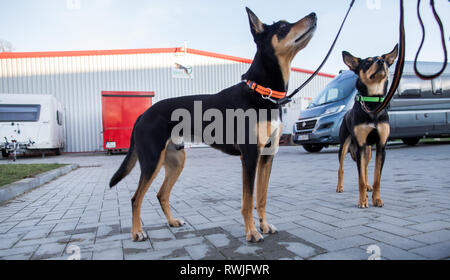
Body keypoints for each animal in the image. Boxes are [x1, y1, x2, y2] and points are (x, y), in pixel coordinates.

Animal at [109, 7, 316, 242]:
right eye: (282, 26)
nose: (314, 15)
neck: (263, 93)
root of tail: (142, 115)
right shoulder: (250, 156)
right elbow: (248, 201)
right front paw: (252, 232)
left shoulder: (267, 156)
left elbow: (261, 198)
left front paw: (264, 226)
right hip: (152, 161)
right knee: (136, 198)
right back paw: (137, 232)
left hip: (176, 160)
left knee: (161, 194)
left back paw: (172, 222)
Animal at [336, 44, 400, 208]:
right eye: (367, 63)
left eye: (383, 59)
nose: (381, 62)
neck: (372, 104)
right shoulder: (360, 146)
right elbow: (360, 179)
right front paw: (362, 201)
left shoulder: (381, 146)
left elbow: (376, 177)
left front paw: (376, 199)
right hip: (344, 146)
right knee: (341, 168)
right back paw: (340, 187)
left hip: (368, 150)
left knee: (364, 168)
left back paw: (368, 187)